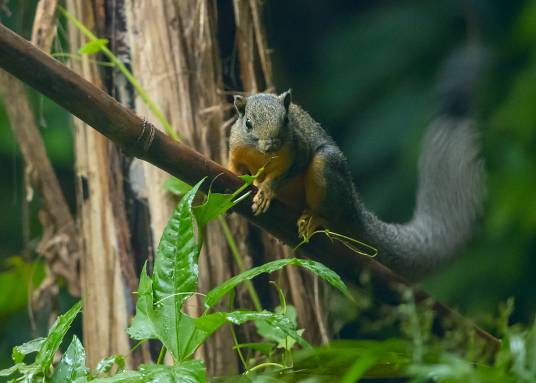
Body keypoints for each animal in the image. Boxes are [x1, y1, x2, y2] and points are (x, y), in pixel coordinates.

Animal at [227, 46, 486, 280]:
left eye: (286, 120)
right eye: (248, 124)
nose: (272, 145)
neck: (260, 155)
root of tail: (353, 207)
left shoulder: (296, 149)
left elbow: (287, 172)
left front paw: (266, 190)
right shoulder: (236, 147)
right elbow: (234, 165)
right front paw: (232, 179)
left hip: (327, 171)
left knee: (329, 208)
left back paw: (315, 219)